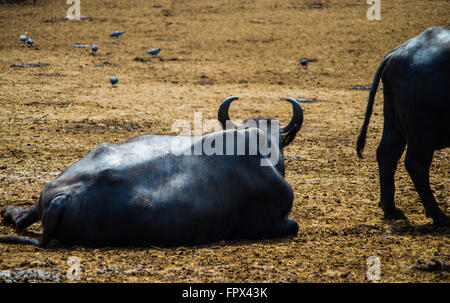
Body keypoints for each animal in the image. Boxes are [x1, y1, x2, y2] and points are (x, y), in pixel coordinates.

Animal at [356, 25, 448, 226]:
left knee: (387, 154)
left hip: (393, 121)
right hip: (421, 130)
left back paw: (391, 209)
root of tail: (397, 53)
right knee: (416, 164)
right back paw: (438, 215)